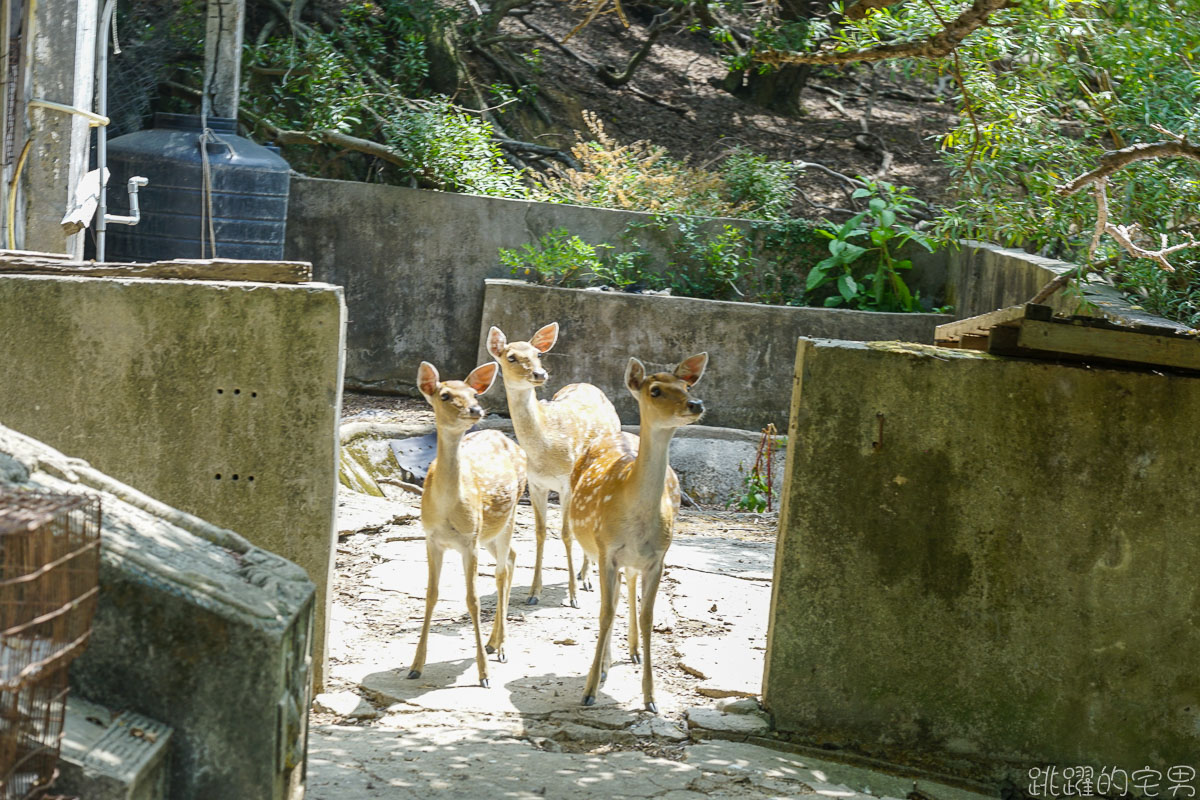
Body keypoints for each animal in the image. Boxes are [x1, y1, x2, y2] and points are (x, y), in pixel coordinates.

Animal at [408, 357, 525, 690]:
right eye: (445, 395)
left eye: (474, 394)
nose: (475, 410)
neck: (447, 508)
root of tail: (506, 437)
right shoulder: (431, 538)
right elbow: (430, 595)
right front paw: (415, 666)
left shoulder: (468, 540)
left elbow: (472, 599)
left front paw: (483, 675)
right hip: (490, 532)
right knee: (512, 558)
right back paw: (493, 642)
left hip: (510, 514)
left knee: (502, 571)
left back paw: (501, 647)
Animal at [484, 321, 624, 609]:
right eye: (511, 357)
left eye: (538, 353)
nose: (539, 374)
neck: (545, 450)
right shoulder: (536, 484)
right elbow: (540, 532)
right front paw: (533, 593)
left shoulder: (566, 482)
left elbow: (566, 532)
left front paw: (572, 596)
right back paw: (584, 574)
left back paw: (586, 579)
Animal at [566, 352, 705, 714]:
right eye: (654, 390)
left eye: (686, 386)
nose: (696, 403)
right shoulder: (606, 550)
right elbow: (604, 614)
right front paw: (589, 691)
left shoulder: (658, 558)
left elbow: (647, 617)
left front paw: (651, 698)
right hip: (603, 549)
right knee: (613, 602)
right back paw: (604, 666)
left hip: (634, 561)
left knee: (628, 590)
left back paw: (632, 652)